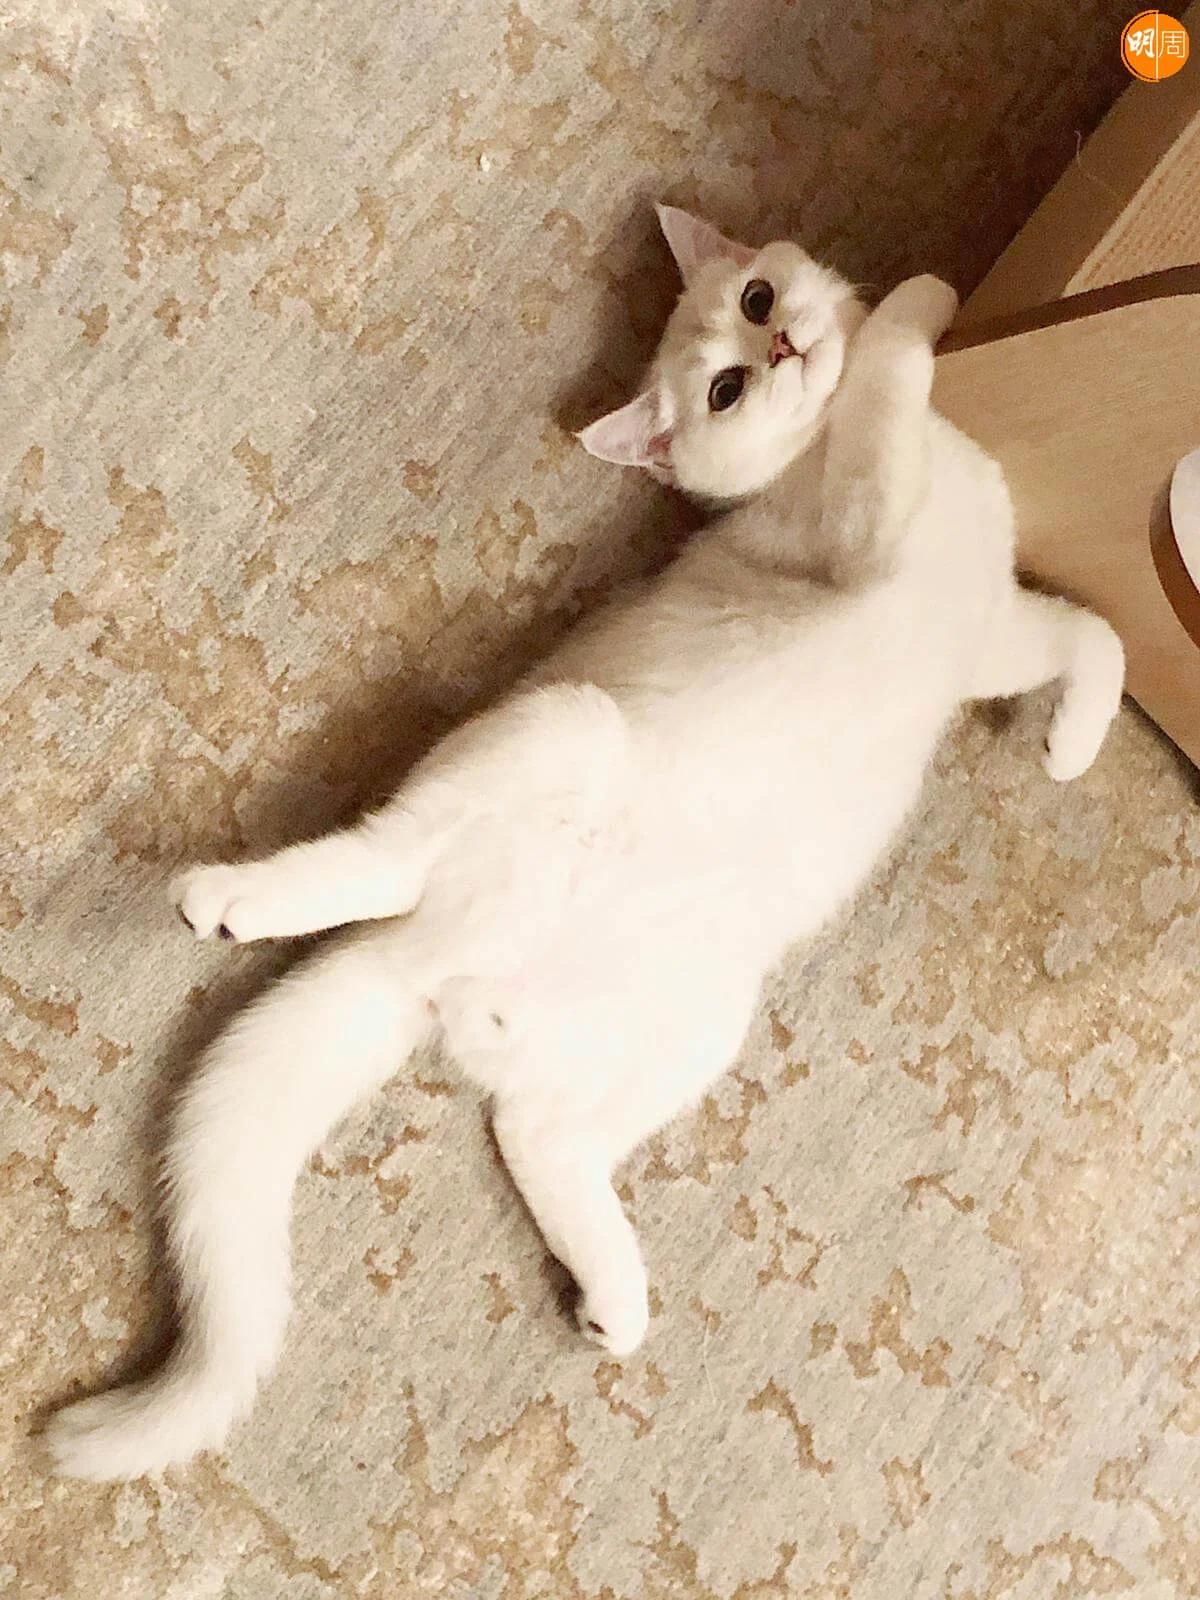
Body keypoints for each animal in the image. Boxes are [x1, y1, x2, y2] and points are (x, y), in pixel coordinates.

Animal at [45, 206, 1125, 1481]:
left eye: (756, 302)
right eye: (723, 385)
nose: (782, 349)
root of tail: (434, 963)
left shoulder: (995, 633)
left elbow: (1092, 636)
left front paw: (1068, 746)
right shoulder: (872, 520)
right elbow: (893, 380)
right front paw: (922, 299)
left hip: (695, 1023)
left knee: (534, 1131)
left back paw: (617, 1301)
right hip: (562, 731)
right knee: (384, 859)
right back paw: (230, 900)